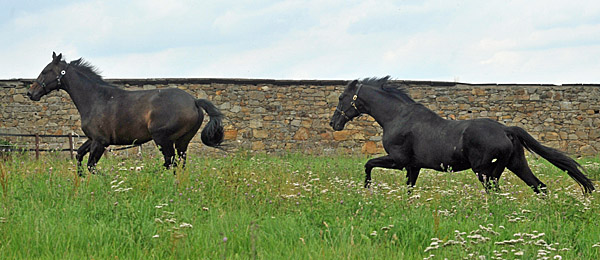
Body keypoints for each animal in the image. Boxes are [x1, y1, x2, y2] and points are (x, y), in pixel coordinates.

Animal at [26, 52, 223, 175]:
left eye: (45, 71)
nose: (30, 93)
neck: (96, 98)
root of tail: (194, 101)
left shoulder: (100, 142)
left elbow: (91, 166)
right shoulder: (93, 139)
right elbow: (80, 155)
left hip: (163, 138)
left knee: (169, 162)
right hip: (182, 141)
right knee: (179, 163)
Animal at [332, 75, 596, 193]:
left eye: (342, 97)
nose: (334, 123)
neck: (397, 117)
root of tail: (506, 129)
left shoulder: (398, 161)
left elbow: (368, 164)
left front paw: (366, 188)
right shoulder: (413, 166)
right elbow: (409, 189)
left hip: (486, 171)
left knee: (497, 192)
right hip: (516, 164)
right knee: (539, 187)